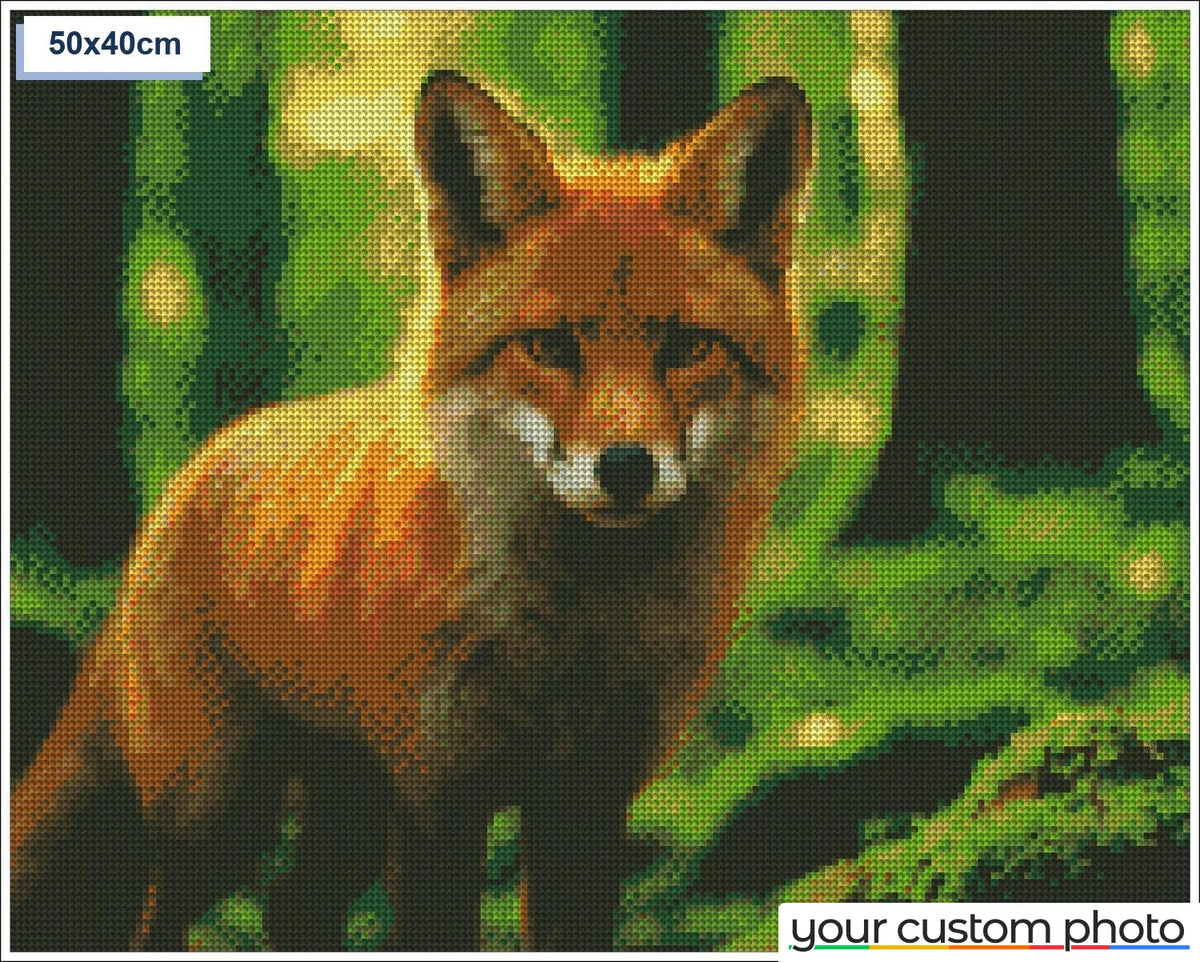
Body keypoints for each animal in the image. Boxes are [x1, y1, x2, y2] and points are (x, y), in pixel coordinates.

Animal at [11, 71, 812, 952]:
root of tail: (200, 463)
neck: (575, 632)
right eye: (550, 348)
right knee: (162, 916)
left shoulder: (588, 798)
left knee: (290, 902)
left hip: (344, 810)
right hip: (219, 813)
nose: (628, 468)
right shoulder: (436, 795)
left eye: (686, 349)